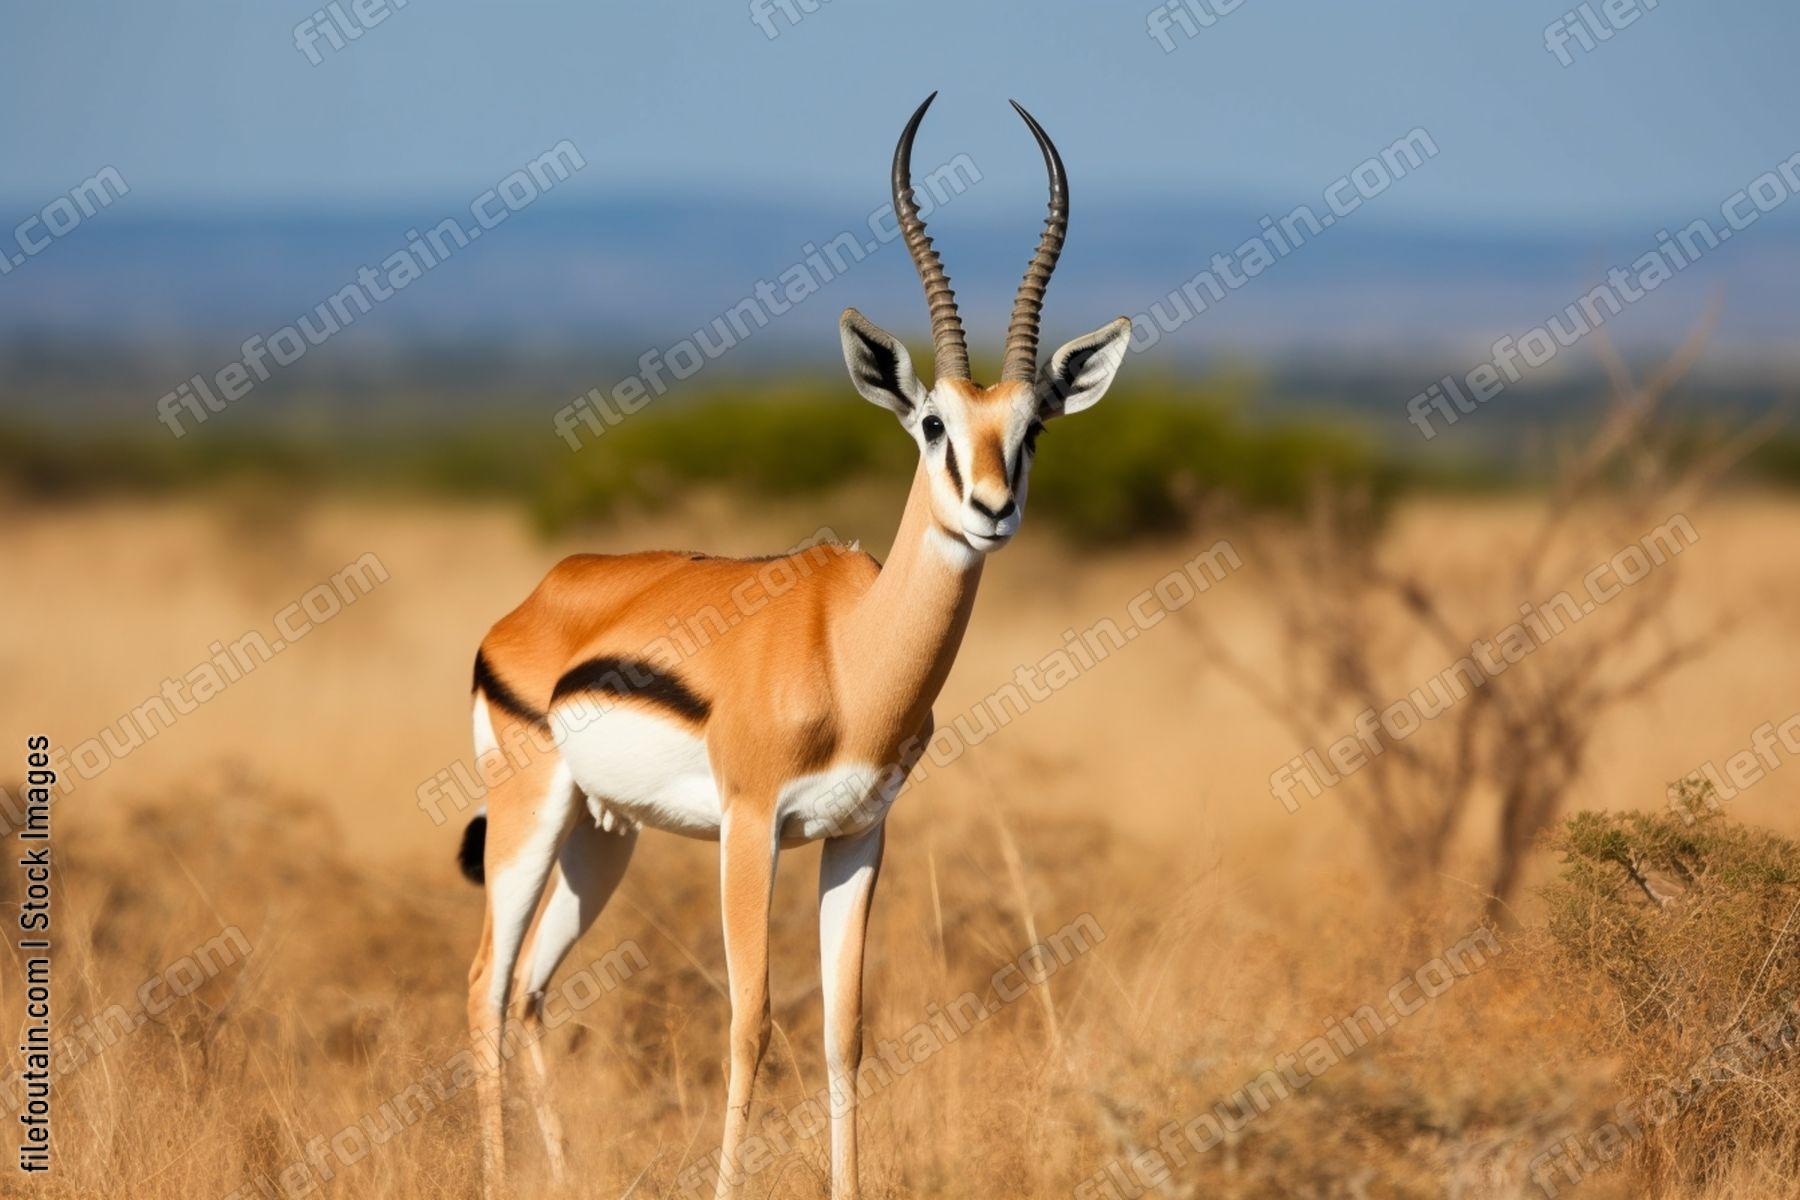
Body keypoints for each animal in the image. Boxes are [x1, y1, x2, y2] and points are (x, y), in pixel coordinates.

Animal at [459, 93, 1132, 1199]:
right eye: (933, 423)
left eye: (1034, 427)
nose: (992, 510)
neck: (851, 657)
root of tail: (540, 597)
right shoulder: (750, 828)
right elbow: (750, 1022)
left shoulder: (858, 835)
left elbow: (843, 1033)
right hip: (529, 813)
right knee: (483, 982)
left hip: (604, 835)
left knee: (529, 990)